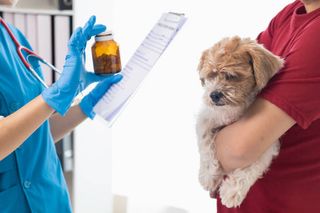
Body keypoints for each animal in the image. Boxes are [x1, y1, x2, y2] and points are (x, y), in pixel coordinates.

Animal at [196, 35, 284, 207]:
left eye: (231, 76)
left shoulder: (267, 145)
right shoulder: (206, 119)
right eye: (210, 76)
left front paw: (232, 191)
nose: (213, 94)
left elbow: (253, 166)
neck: (236, 109)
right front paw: (209, 175)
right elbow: (206, 145)